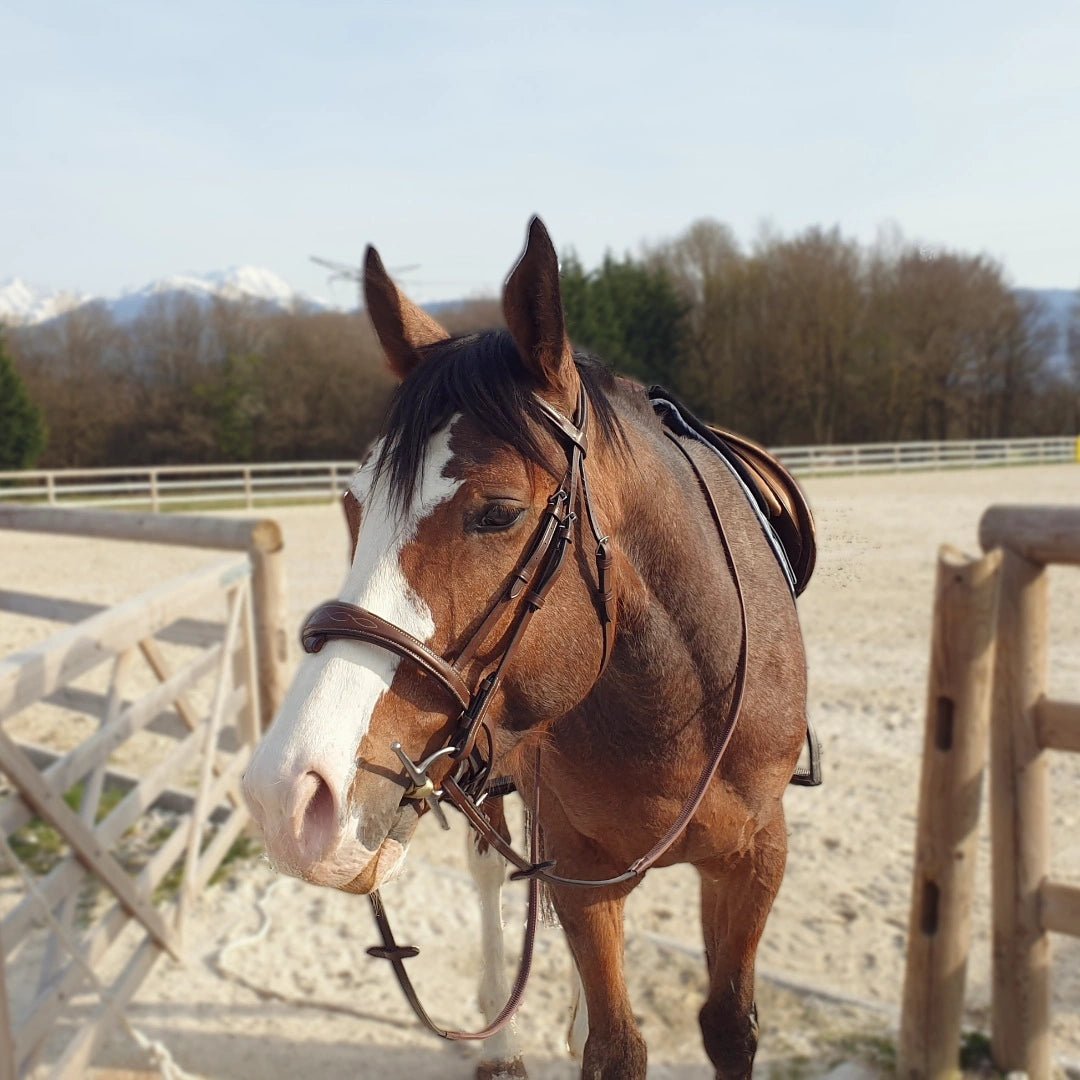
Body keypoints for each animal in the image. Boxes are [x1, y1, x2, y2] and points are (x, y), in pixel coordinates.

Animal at [242, 217, 811, 1080]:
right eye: (351, 502)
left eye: (500, 512)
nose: (286, 797)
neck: (681, 705)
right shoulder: (577, 866)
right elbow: (616, 1046)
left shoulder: (755, 860)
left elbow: (728, 1026)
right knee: (490, 872)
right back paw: (501, 1042)